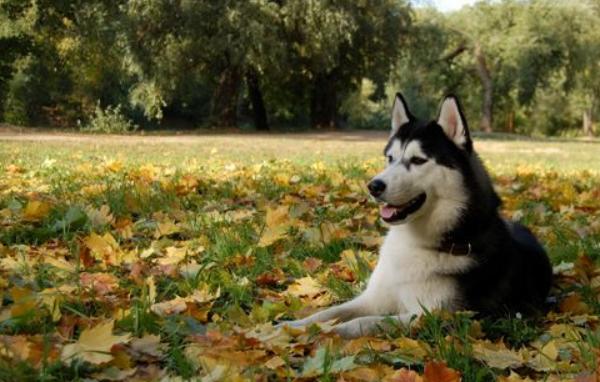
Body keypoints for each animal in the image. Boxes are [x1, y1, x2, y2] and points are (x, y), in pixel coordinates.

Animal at [282, 94, 552, 338]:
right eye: (390, 158)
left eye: (418, 160)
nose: (373, 186)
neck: (416, 242)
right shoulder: (373, 298)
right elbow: (328, 312)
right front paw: (291, 326)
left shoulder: (436, 316)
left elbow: (367, 322)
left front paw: (331, 332)